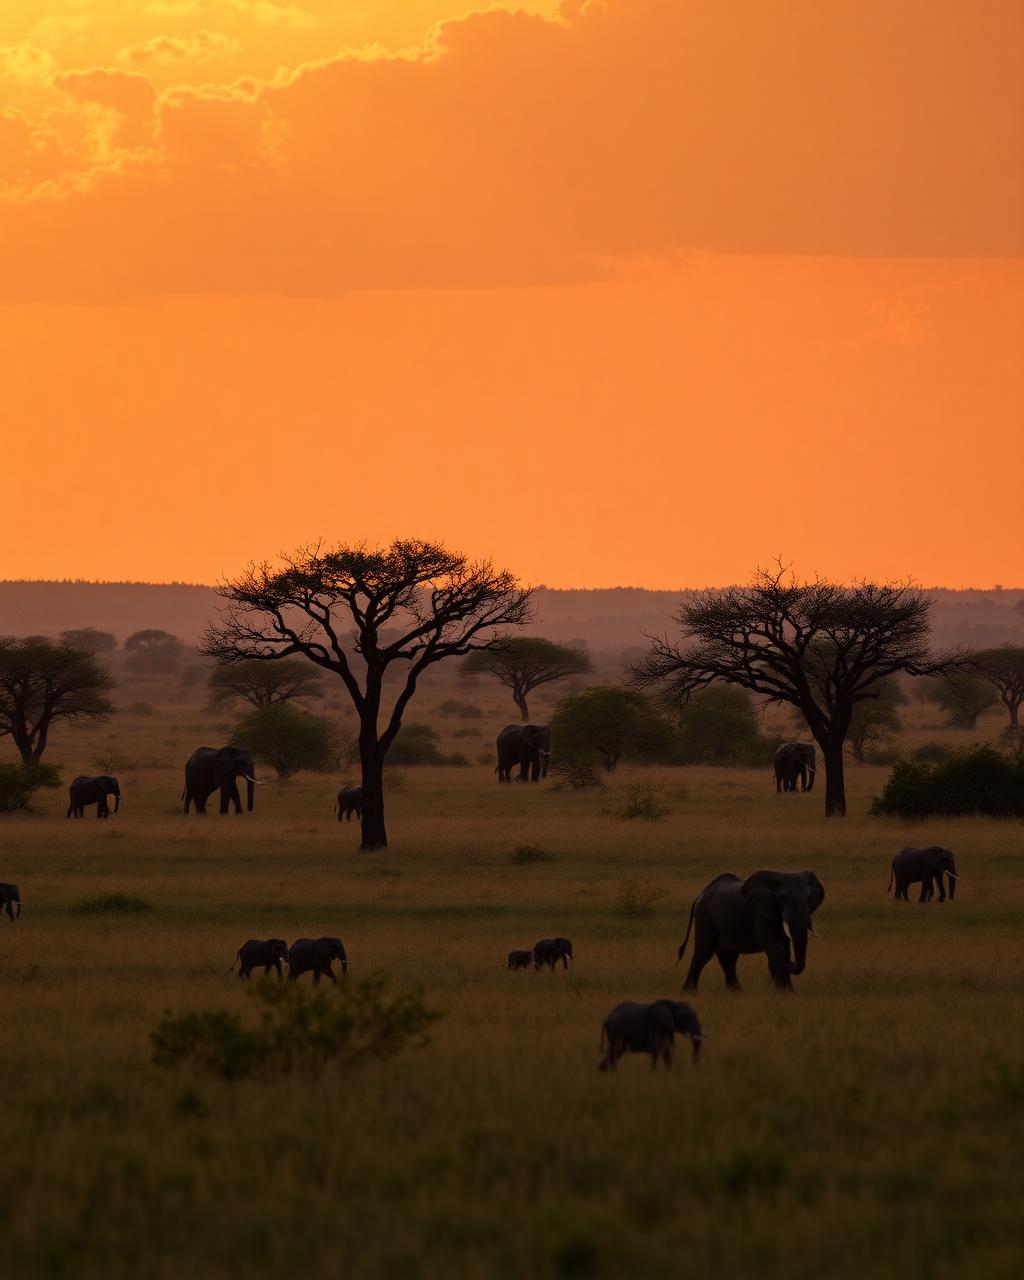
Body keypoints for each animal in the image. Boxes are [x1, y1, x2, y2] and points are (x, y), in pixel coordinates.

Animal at [678, 870, 825, 992]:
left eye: (808, 897)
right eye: (782, 898)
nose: (791, 962)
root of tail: (699, 895)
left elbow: (784, 946)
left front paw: (787, 992)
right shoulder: (759, 912)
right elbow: (772, 944)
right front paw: (785, 992)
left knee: (728, 958)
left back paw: (737, 993)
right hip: (704, 916)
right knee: (703, 953)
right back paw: (689, 993)